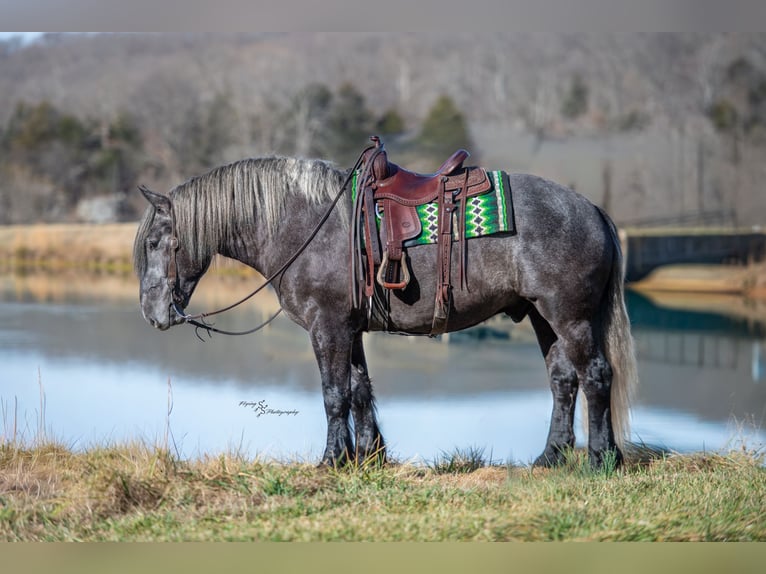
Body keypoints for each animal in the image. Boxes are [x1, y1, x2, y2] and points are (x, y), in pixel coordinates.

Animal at [133, 154, 638, 469]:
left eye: (157, 242)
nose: (153, 314)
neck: (301, 223)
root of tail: (591, 208)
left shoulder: (327, 326)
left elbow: (334, 393)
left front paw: (332, 460)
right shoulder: (348, 328)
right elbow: (359, 390)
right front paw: (368, 456)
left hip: (569, 315)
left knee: (595, 375)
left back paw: (601, 459)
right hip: (541, 316)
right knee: (563, 379)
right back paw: (551, 457)